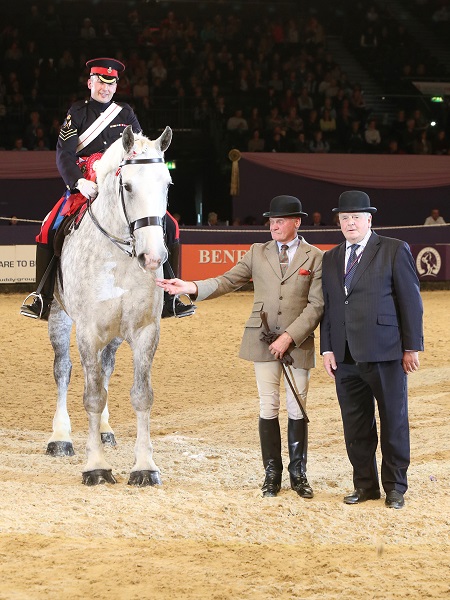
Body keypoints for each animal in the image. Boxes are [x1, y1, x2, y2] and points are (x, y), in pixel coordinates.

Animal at [46, 125, 172, 488]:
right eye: (127, 186)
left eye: (167, 183)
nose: (152, 257)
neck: (119, 256)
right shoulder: (88, 331)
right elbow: (91, 395)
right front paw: (96, 467)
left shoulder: (145, 330)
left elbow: (141, 395)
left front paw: (144, 466)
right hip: (60, 318)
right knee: (63, 370)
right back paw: (60, 437)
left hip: (114, 335)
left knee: (105, 371)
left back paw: (105, 431)